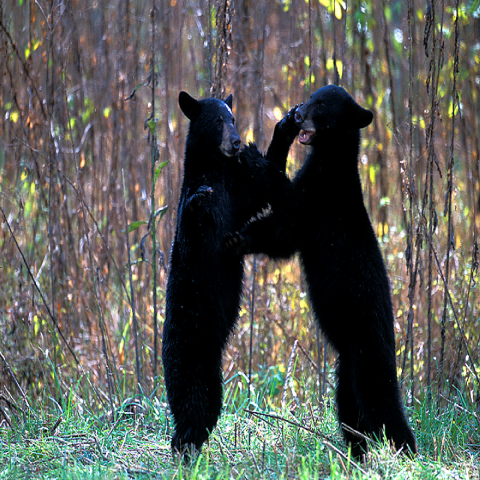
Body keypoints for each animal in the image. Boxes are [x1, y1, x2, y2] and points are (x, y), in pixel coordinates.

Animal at [163, 93, 298, 458]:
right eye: (217, 121)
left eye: (234, 118)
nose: (236, 142)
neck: (216, 173)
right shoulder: (194, 224)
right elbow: (190, 220)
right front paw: (198, 200)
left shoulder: (236, 198)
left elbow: (259, 190)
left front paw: (286, 126)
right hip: (189, 355)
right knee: (191, 404)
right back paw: (183, 447)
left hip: (212, 374)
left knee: (209, 407)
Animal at [228, 85, 416, 458]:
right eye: (311, 96)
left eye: (323, 106)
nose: (298, 114)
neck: (330, 163)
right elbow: (278, 234)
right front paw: (236, 239)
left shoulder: (318, 199)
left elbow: (288, 219)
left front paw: (254, 156)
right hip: (346, 369)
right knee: (350, 411)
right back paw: (358, 451)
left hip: (367, 356)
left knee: (382, 404)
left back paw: (406, 450)